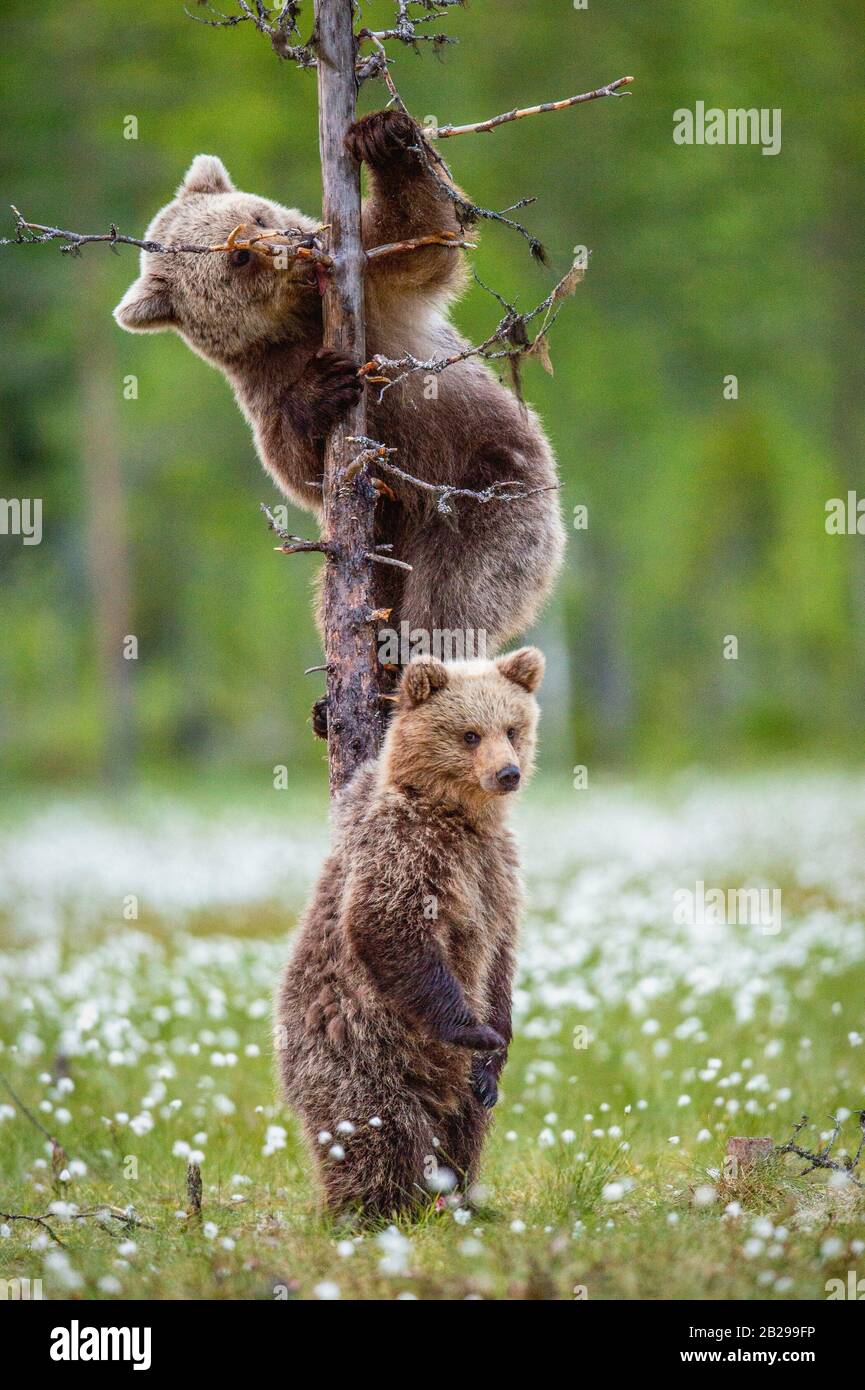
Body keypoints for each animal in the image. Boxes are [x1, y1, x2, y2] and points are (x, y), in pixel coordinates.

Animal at [113, 111, 564, 685]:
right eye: (238, 257)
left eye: (257, 213)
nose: (297, 247)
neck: (299, 322)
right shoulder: (262, 381)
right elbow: (293, 462)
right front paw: (322, 388)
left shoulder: (370, 286)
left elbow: (419, 235)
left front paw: (383, 136)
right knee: (397, 603)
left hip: (491, 493)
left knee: (456, 594)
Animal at [273, 644, 544, 1219]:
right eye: (469, 733)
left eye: (512, 728)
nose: (507, 773)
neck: (460, 819)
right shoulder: (407, 850)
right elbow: (387, 927)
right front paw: (475, 1031)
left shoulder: (497, 873)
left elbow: (501, 960)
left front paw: (494, 1054)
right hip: (357, 1052)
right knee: (378, 1128)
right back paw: (378, 1205)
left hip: (442, 1090)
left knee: (465, 1126)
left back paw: (458, 1191)